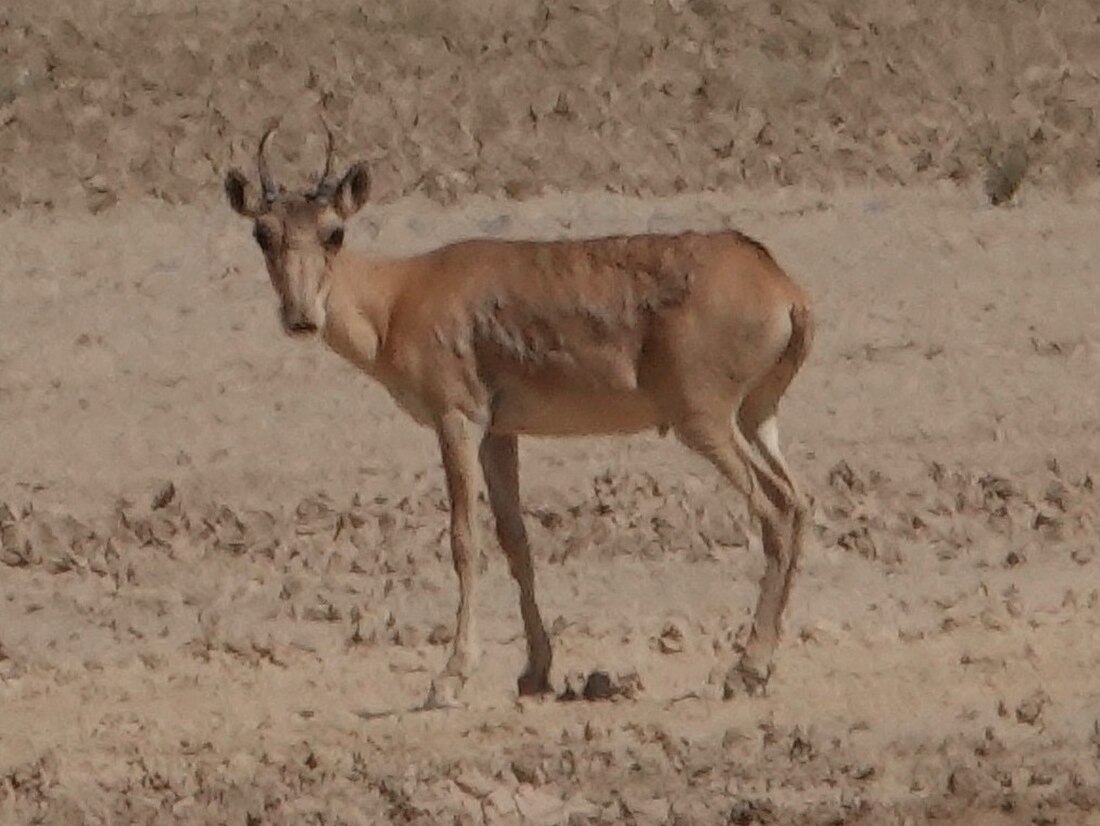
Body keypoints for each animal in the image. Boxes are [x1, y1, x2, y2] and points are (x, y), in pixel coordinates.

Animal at [223, 125, 814, 708]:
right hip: (757, 418)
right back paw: (763, 664)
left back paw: (745, 669)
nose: (301, 317)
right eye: (263, 233)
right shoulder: (499, 434)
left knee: (774, 511)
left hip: (705, 423)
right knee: (797, 501)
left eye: (334, 232)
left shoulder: (457, 420)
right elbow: (516, 540)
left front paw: (450, 676)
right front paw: (534, 671)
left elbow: (464, 540)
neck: (397, 296)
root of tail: (782, 288)